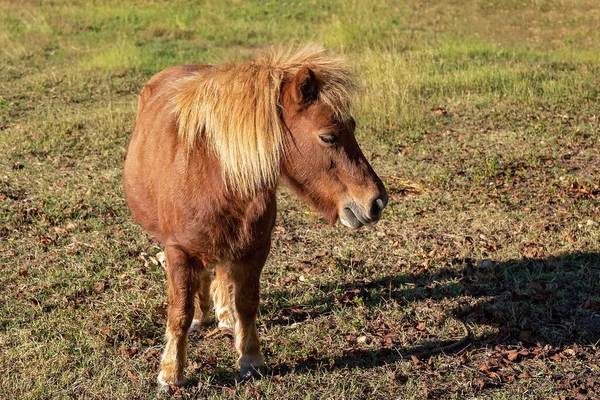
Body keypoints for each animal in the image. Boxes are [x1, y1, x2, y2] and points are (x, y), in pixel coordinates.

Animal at [123, 44, 390, 388]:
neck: (211, 171)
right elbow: (179, 312)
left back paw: (223, 315)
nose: (377, 202)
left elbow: (247, 303)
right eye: (328, 136)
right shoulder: (178, 251)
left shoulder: (255, 248)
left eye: (353, 128)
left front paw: (250, 359)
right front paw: (171, 372)